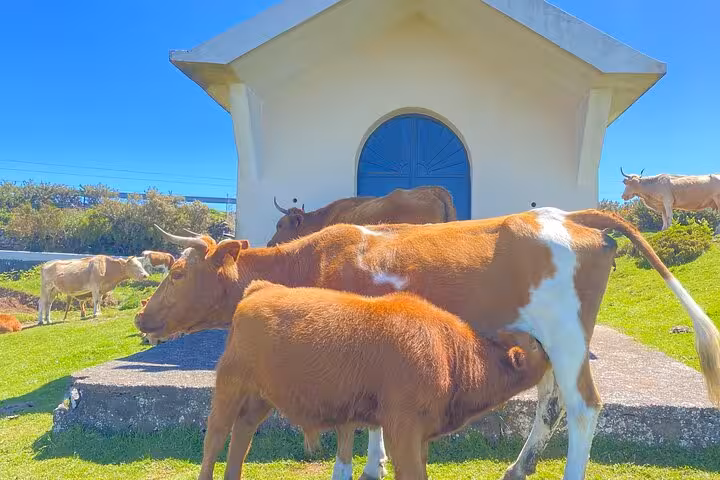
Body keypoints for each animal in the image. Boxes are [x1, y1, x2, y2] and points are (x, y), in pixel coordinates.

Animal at [199, 281, 549, 480]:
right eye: (535, 343)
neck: (448, 350)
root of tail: (263, 290)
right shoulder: (403, 429)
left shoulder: (419, 435)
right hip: (230, 387)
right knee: (215, 438)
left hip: (259, 399)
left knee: (242, 436)